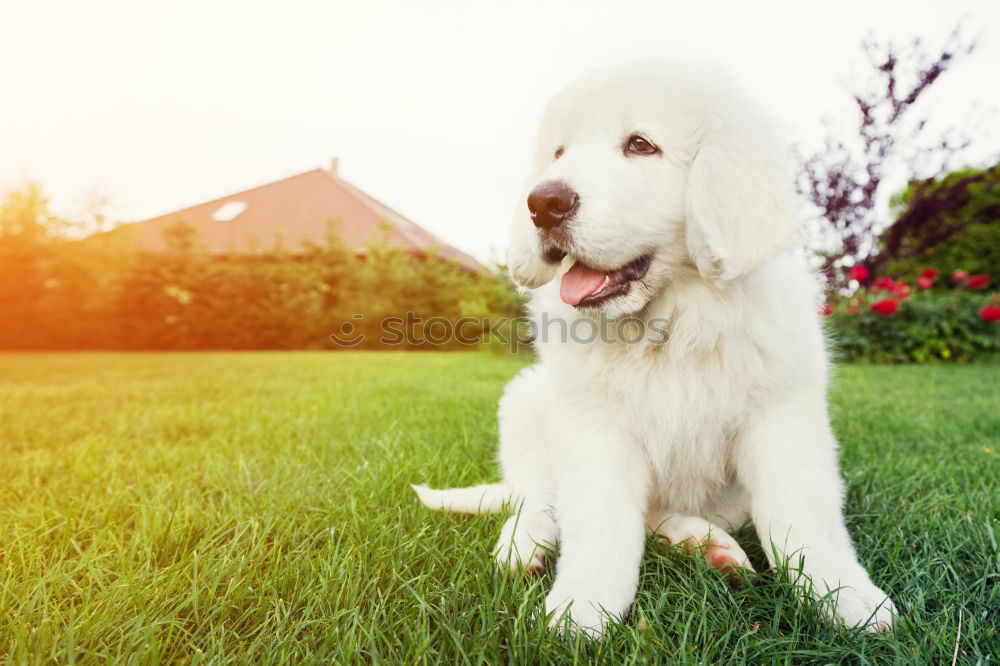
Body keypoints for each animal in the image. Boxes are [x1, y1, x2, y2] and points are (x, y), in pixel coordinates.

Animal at [410, 61, 896, 632]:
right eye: (559, 153)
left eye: (641, 145)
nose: (542, 202)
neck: (670, 324)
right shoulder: (593, 427)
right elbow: (599, 523)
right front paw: (583, 608)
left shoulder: (781, 418)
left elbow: (801, 516)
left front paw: (845, 596)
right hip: (528, 404)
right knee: (538, 502)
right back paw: (523, 548)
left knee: (652, 515)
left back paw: (703, 545)